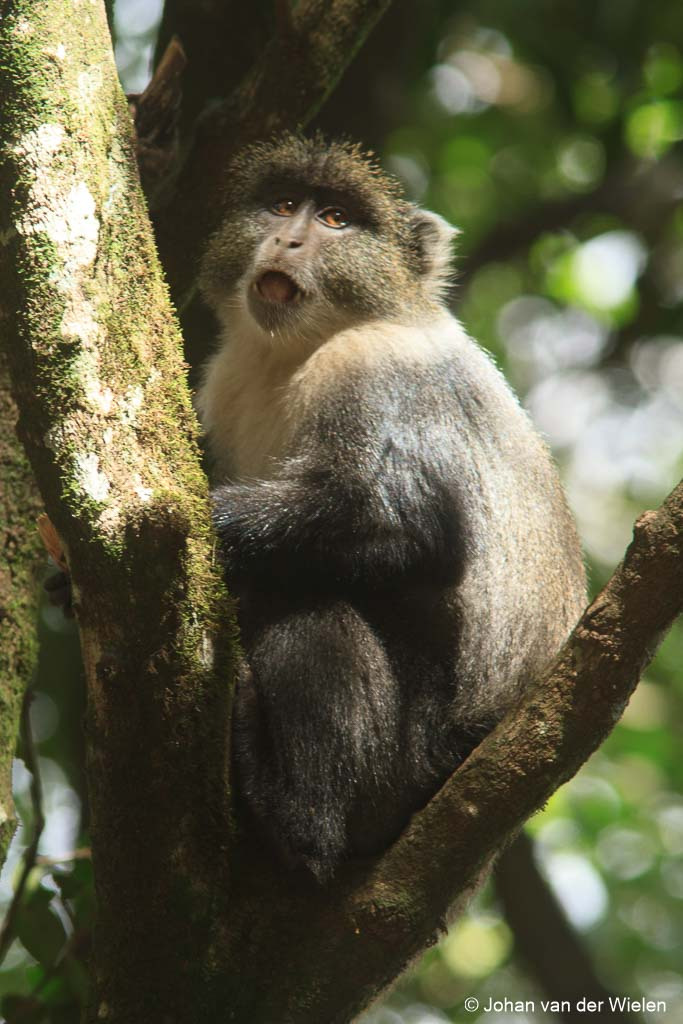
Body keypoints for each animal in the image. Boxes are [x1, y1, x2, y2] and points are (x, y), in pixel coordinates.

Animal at [198, 132, 589, 876]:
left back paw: (297, 821)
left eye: (336, 221)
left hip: (408, 761)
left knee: (303, 606)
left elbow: (408, 529)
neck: (291, 353)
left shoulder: (373, 369)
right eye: (283, 205)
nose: (288, 240)